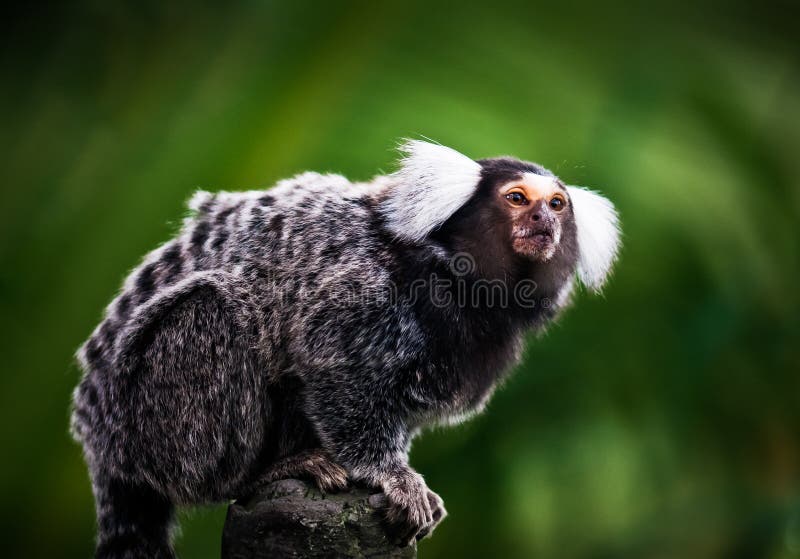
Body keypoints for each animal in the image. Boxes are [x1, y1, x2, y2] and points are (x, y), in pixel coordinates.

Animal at [70, 140, 620, 556]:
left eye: (557, 204)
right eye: (518, 198)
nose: (544, 222)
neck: (453, 276)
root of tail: (99, 446)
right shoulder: (364, 288)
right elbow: (335, 372)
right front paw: (390, 474)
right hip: (144, 417)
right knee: (211, 308)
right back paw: (254, 475)